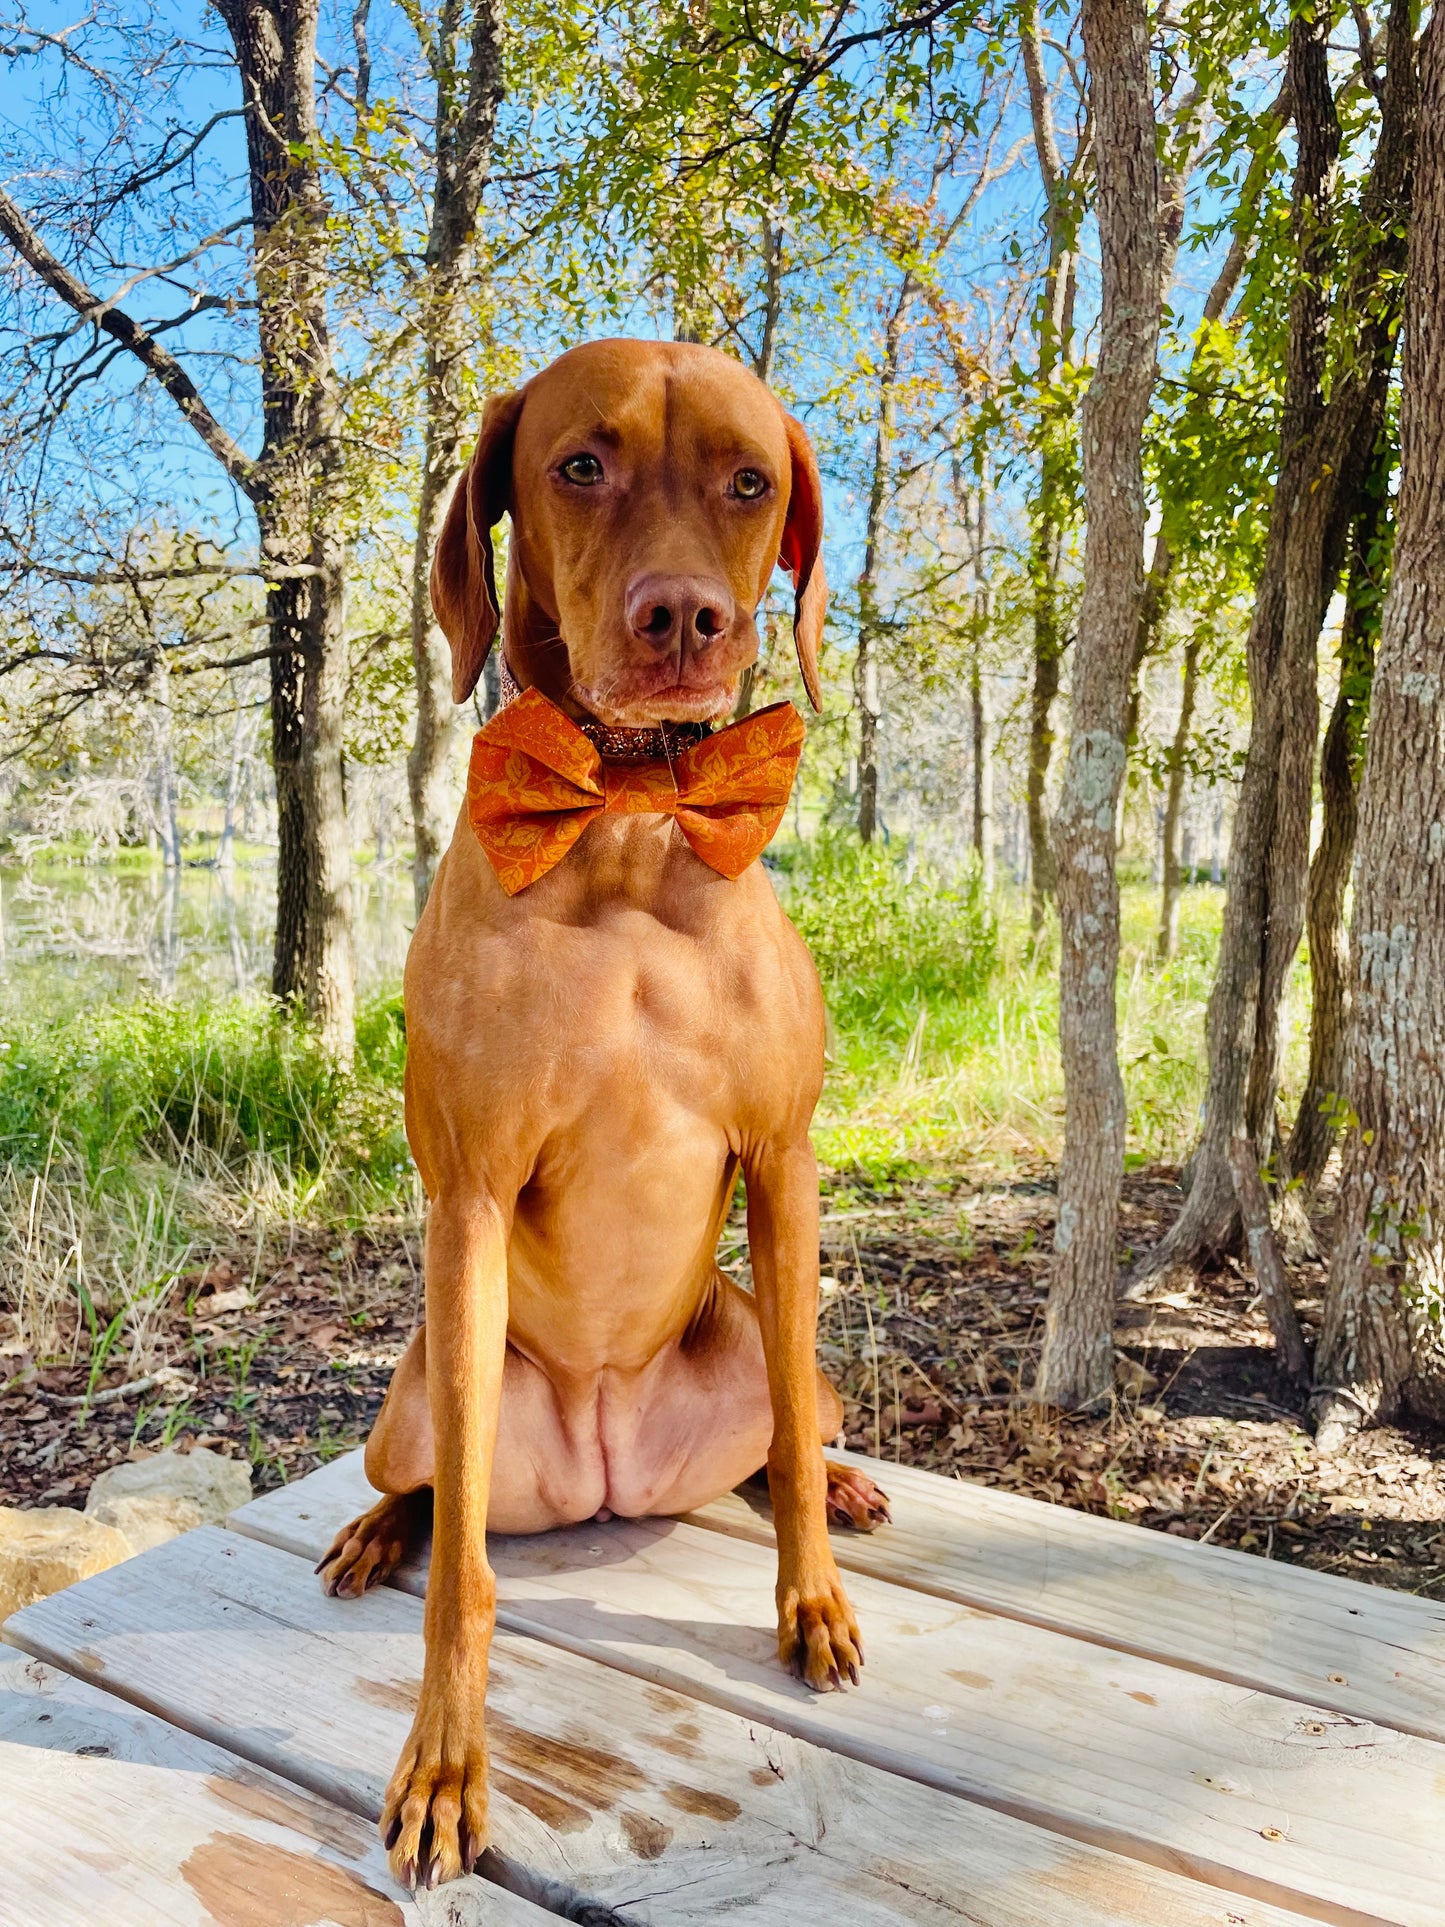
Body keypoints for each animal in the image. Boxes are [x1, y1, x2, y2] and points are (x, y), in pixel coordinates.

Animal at [319, 339, 893, 1888]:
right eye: (580, 463)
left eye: (749, 482)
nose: (685, 616)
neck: (631, 816)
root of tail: (611, 1473)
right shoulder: (466, 1195)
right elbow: (464, 1577)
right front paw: (446, 1763)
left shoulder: (784, 1163)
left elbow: (791, 1465)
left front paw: (812, 1592)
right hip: (422, 1385)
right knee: (437, 1489)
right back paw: (376, 1527)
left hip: (766, 1341)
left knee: (788, 1429)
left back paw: (835, 1479)